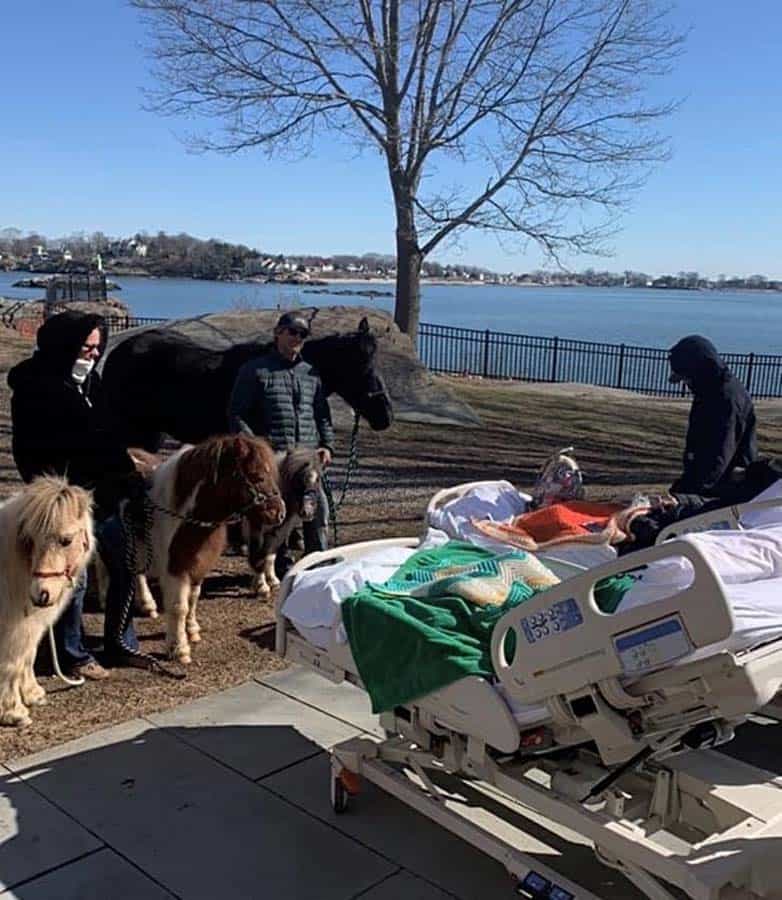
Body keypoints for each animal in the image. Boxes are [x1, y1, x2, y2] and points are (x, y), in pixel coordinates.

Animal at [0, 478, 94, 724]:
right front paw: (14, 712)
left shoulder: (31, 625)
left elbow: (27, 656)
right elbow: (11, 663)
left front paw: (32, 695)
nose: (41, 594)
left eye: (66, 540)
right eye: (29, 540)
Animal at [144, 432, 284, 664]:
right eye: (256, 476)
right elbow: (178, 606)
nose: (280, 513)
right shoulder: (175, 568)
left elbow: (193, 597)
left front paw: (192, 630)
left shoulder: (199, 564)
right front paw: (178, 648)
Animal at [250, 444, 326, 596]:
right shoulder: (256, 531)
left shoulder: (278, 531)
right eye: (297, 481)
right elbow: (260, 557)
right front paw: (262, 587)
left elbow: (270, 556)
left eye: (318, 479)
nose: (307, 512)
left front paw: (273, 582)